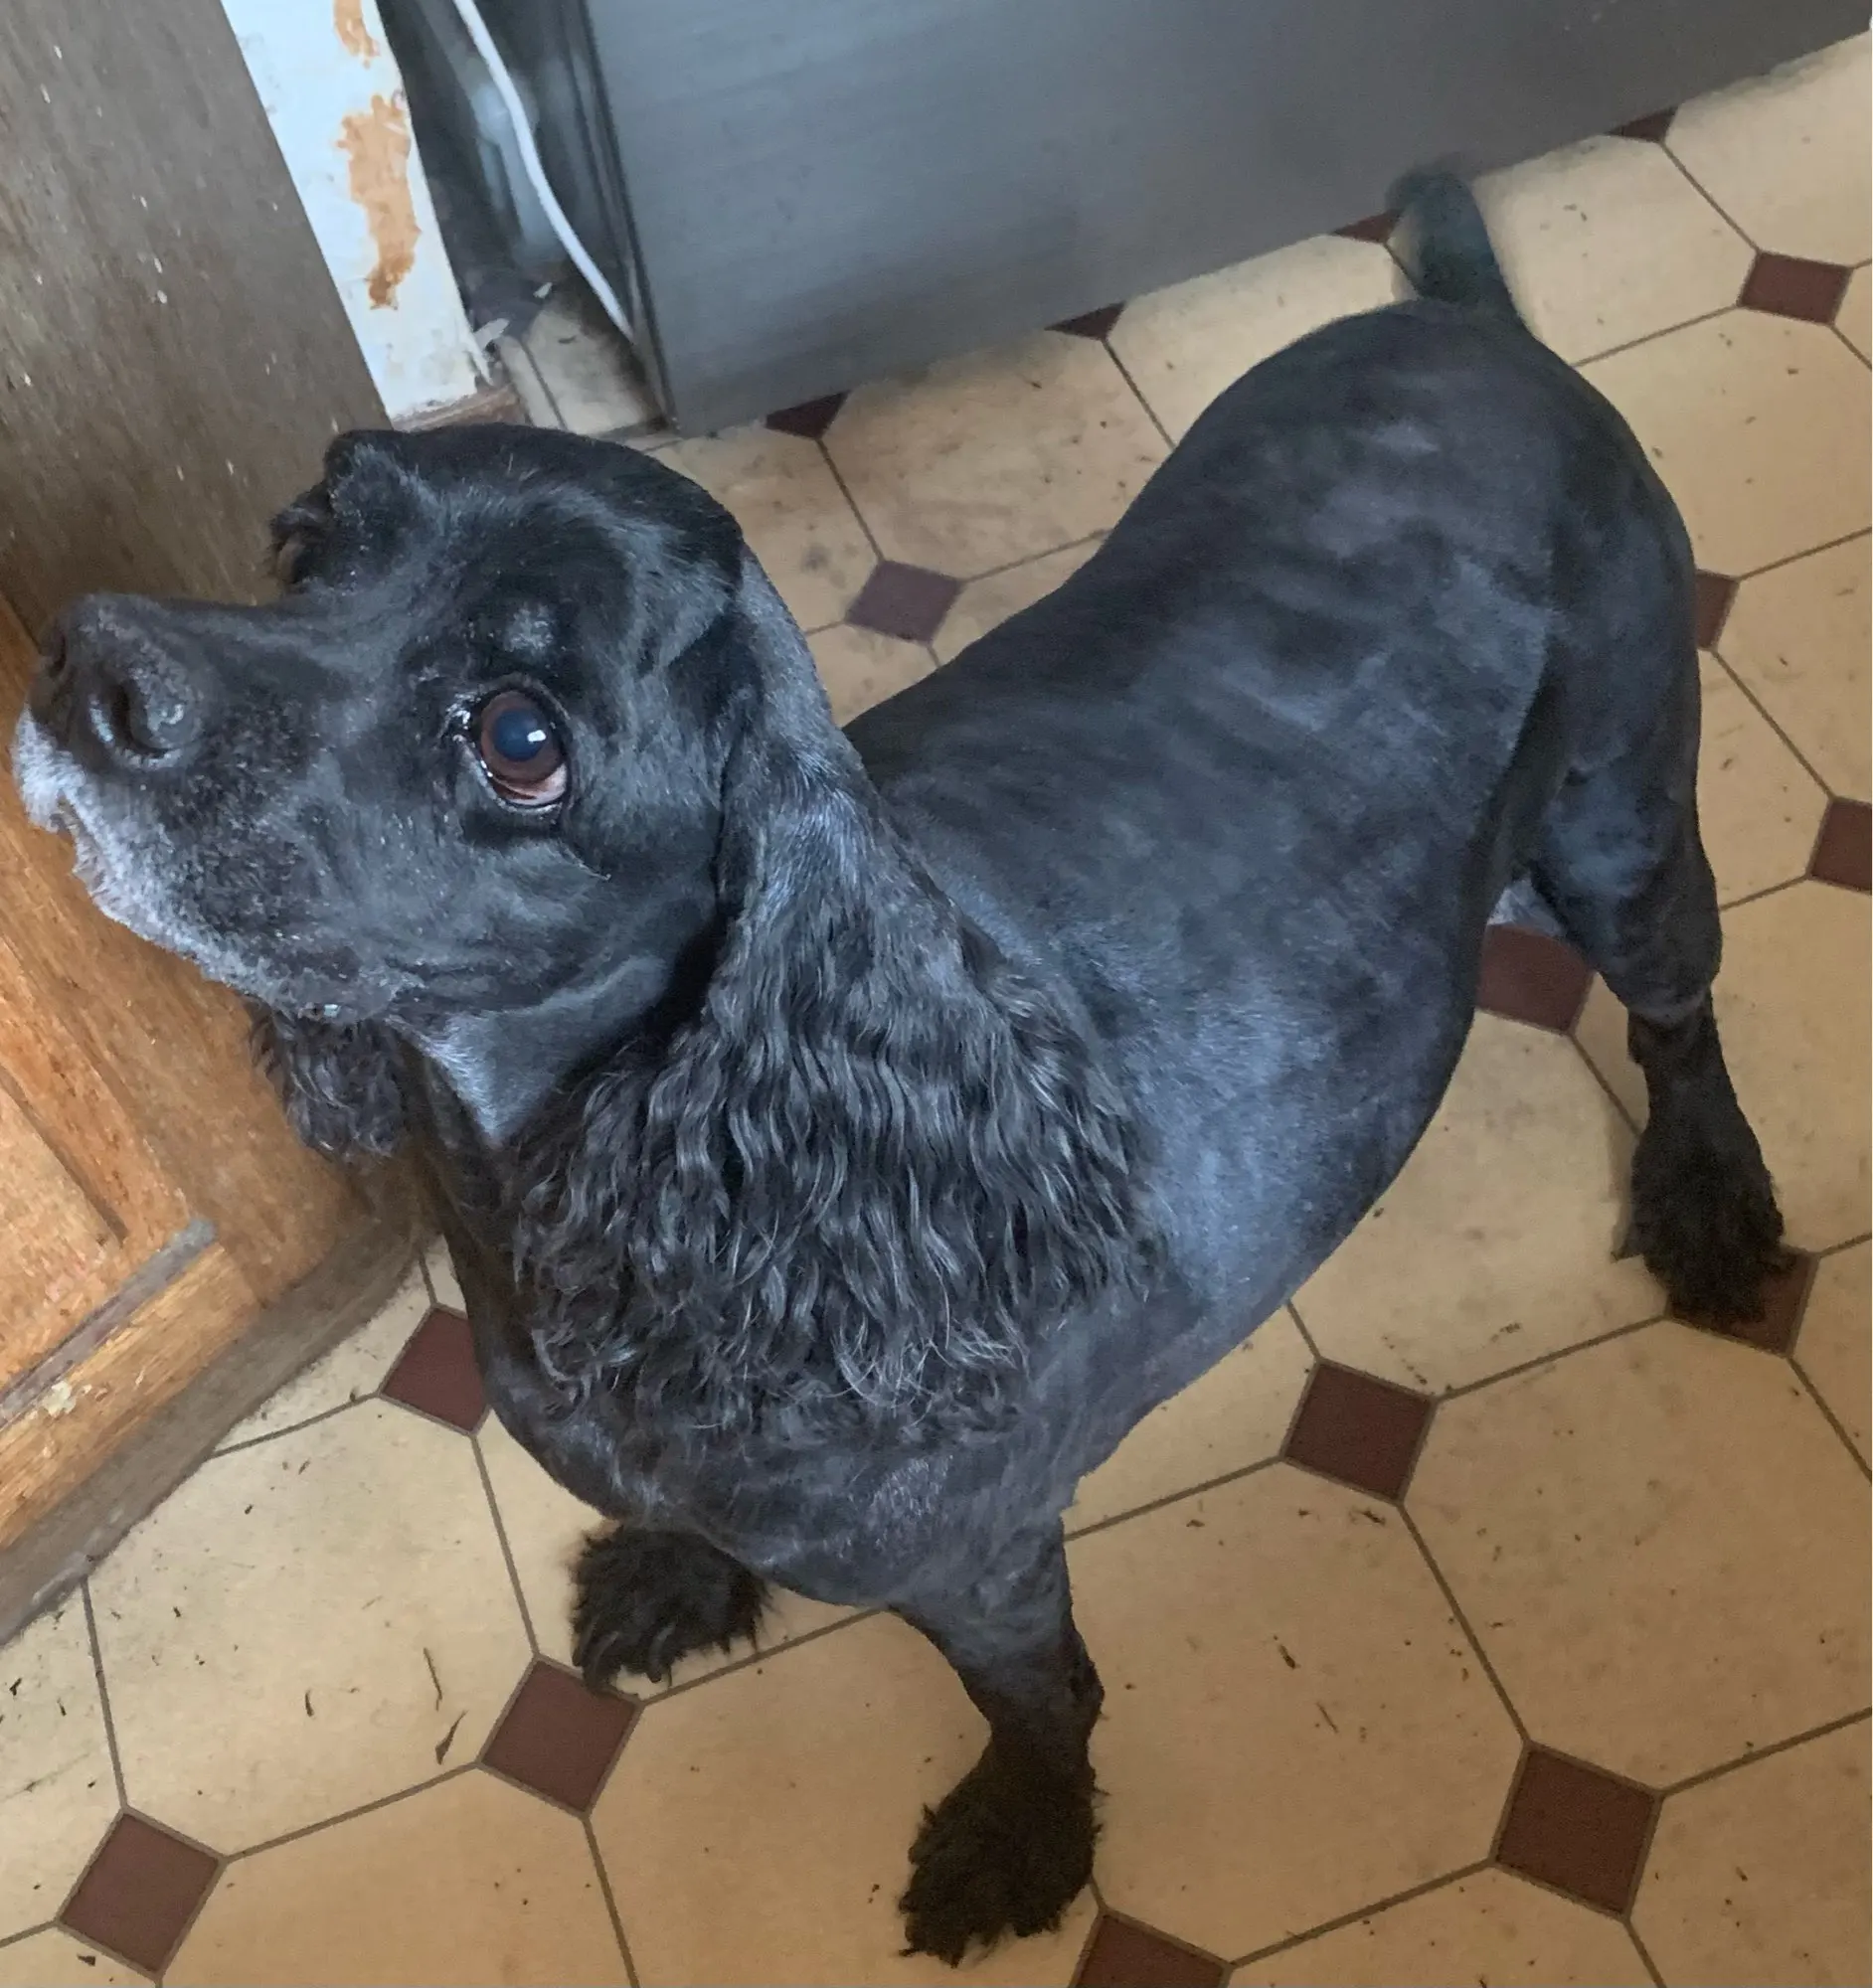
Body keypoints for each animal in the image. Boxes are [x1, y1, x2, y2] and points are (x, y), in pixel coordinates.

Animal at [13, 176, 1784, 1961]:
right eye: (307, 546)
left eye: (521, 739)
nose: (89, 662)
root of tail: (1471, 329)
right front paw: (674, 1575)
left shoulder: (977, 1561)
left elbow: (1039, 1700)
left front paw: (1026, 1837)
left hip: (1623, 825)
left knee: (1678, 1018)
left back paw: (1707, 1199)